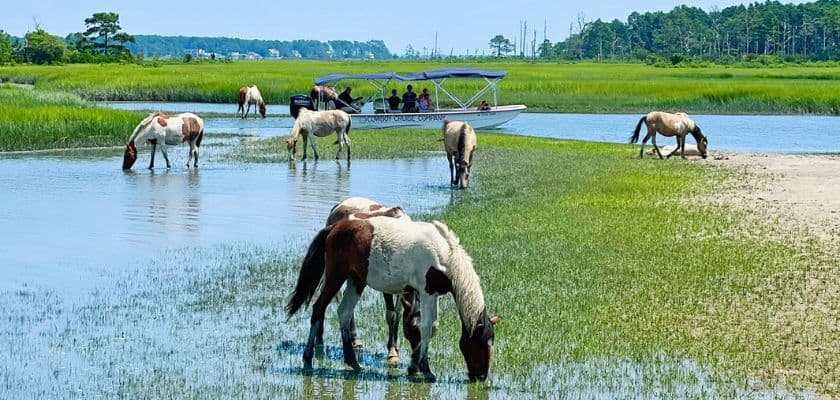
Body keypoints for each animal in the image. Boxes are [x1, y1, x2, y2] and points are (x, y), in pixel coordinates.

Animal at [286, 216, 499, 382]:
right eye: (481, 343)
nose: (481, 376)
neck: (445, 255)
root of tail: (334, 228)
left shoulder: (433, 294)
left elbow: (432, 327)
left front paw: (414, 366)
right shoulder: (427, 293)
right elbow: (426, 327)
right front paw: (426, 370)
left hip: (356, 281)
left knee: (344, 313)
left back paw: (353, 362)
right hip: (336, 276)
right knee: (318, 309)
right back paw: (308, 359)